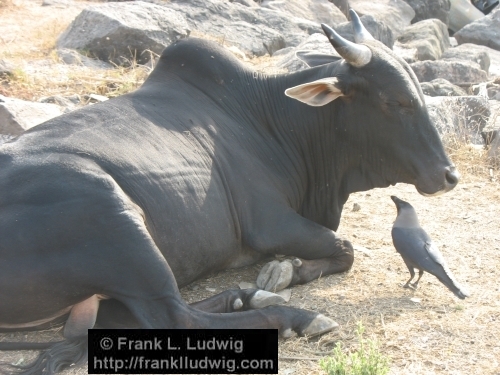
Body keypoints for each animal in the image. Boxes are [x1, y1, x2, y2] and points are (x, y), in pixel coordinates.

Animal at [0, 11, 458, 374]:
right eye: (397, 102)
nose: (449, 175)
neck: (274, 121)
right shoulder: (270, 224)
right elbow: (345, 248)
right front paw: (287, 272)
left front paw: (281, 272)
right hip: (116, 216)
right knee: (176, 319)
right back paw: (293, 315)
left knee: (125, 316)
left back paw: (247, 295)